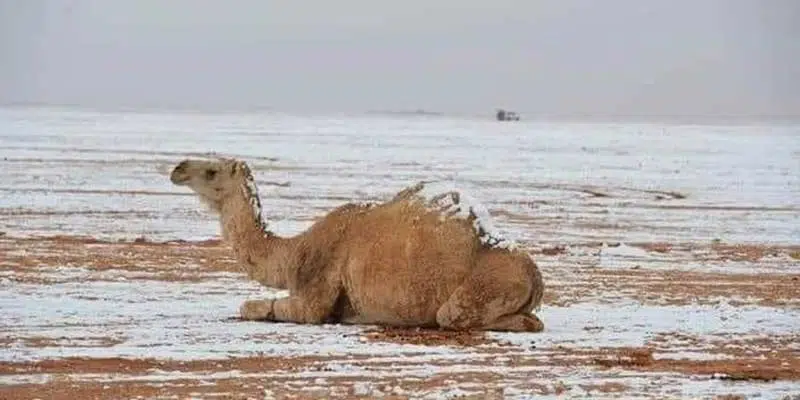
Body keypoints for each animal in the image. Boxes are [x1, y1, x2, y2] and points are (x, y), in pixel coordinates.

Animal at [169, 157, 545, 332]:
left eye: (212, 171)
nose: (178, 168)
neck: (294, 252)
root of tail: (535, 276)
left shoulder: (315, 289)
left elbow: (255, 306)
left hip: (481, 288)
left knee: (456, 316)